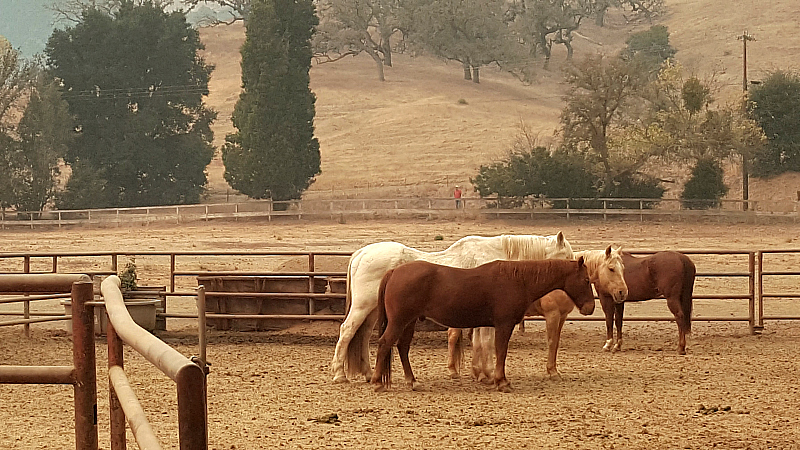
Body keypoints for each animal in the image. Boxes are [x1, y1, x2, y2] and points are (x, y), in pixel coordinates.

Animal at [328, 232, 572, 384]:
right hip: (363, 307)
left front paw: (479, 373)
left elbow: (479, 343)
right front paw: (487, 374)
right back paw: (339, 374)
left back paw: (369, 374)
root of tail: (361, 253)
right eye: (567, 256)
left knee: (362, 336)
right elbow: (486, 343)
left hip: (372, 312)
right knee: (347, 331)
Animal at [370, 258, 592, 392]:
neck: (518, 280)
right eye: (586, 279)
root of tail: (394, 272)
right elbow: (501, 351)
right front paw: (502, 381)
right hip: (399, 321)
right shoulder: (504, 325)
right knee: (385, 343)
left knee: (402, 347)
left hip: (408, 322)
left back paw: (412, 381)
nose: (589, 308)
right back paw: (377, 382)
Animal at [462, 244, 632, 382]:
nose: (622, 292)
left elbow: (556, 342)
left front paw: (554, 370)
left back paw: (479, 373)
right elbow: (551, 342)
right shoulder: (552, 315)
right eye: (611, 268)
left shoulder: (562, 317)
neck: (559, 283)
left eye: (623, 268)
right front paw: (552, 372)